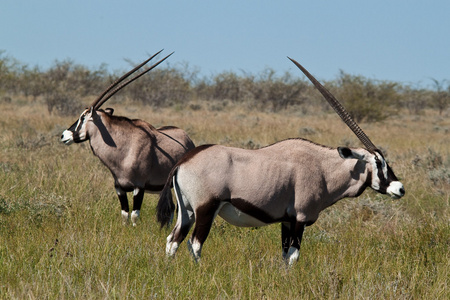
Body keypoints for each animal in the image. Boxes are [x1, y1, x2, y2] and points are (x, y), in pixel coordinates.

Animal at [60, 51, 194, 225]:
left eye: (83, 117)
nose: (64, 135)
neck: (124, 149)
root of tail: (188, 139)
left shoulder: (139, 186)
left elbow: (135, 214)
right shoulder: (119, 187)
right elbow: (124, 213)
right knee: (170, 208)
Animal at [156, 58, 406, 264]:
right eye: (378, 163)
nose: (400, 188)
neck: (323, 169)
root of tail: (184, 161)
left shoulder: (287, 221)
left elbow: (285, 255)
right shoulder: (299, 219)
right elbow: (293, 256)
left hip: (187, 211)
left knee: (173, 239)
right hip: (206, 209)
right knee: (195, 243)